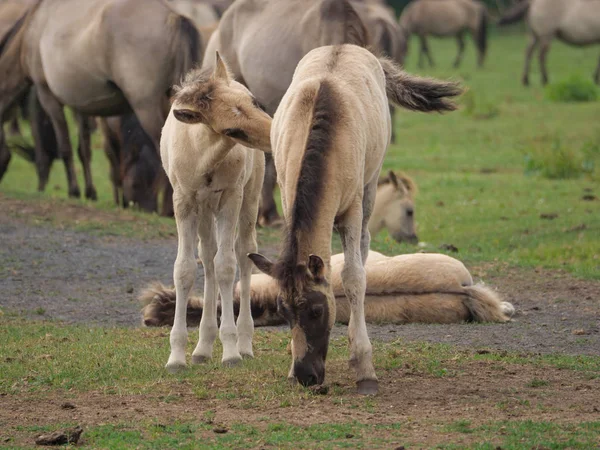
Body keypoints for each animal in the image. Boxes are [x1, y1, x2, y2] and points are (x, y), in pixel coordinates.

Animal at [161, 52, 270, 370]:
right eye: (233, 130)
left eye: (255, 102)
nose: (275, 133)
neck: (205, 155)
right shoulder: (184, 200)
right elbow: (185, 268)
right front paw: (176, 357)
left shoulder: (231, 197)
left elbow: (227, 265)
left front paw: (232, 351)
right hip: (205, 209)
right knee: (207, 256)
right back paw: (202, 347)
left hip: (249, 198)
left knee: (245, 253)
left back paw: (244, 343)